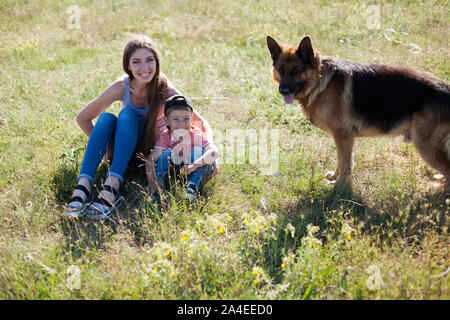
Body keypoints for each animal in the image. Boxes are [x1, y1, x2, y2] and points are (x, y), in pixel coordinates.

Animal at [268, 35, 450, 190]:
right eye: (280, 69)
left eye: (296, 71)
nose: (283, 91)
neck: (320, 81)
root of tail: (446, 90)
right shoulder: (342, 138)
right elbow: (341, 161)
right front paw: (334, 177)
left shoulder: (344, 136)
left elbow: (346, 164)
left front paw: (338, 188)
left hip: (426, 147)